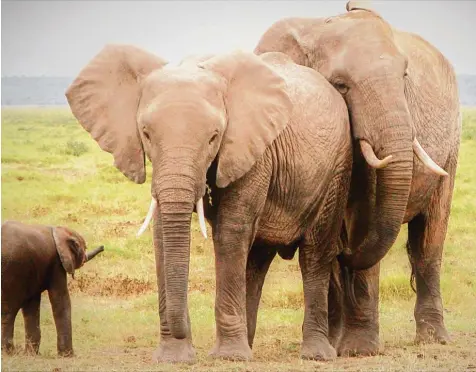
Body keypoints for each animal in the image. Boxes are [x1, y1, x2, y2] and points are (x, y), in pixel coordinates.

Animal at [0, 222, 104, 356]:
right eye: (84, 247)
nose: (103, 246)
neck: (58, 229)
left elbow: (31, 307)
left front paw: (31, 355)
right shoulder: (57, 263)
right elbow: (60, 300)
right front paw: (67, 356)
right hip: (11, 272)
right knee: (8, 312)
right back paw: (8, 352)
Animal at [64, 45, 354, 362]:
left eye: (214, 136)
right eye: (146, 134)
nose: (182, 332)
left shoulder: (251, 148)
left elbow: (230, 231)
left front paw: (229, 357)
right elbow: (162, 234)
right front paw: (174, 358)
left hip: (338, 167)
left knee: (315, 252)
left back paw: (315, 355)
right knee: (257, 258)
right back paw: (249, 344)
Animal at [255, 0, 462, 354]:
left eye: (404, 77)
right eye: (341, 86)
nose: (347, 250)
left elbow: (364, 220)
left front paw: (358, 351)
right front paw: (347, 347)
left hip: (452, 144)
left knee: (430, 237)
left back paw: (433, 338)